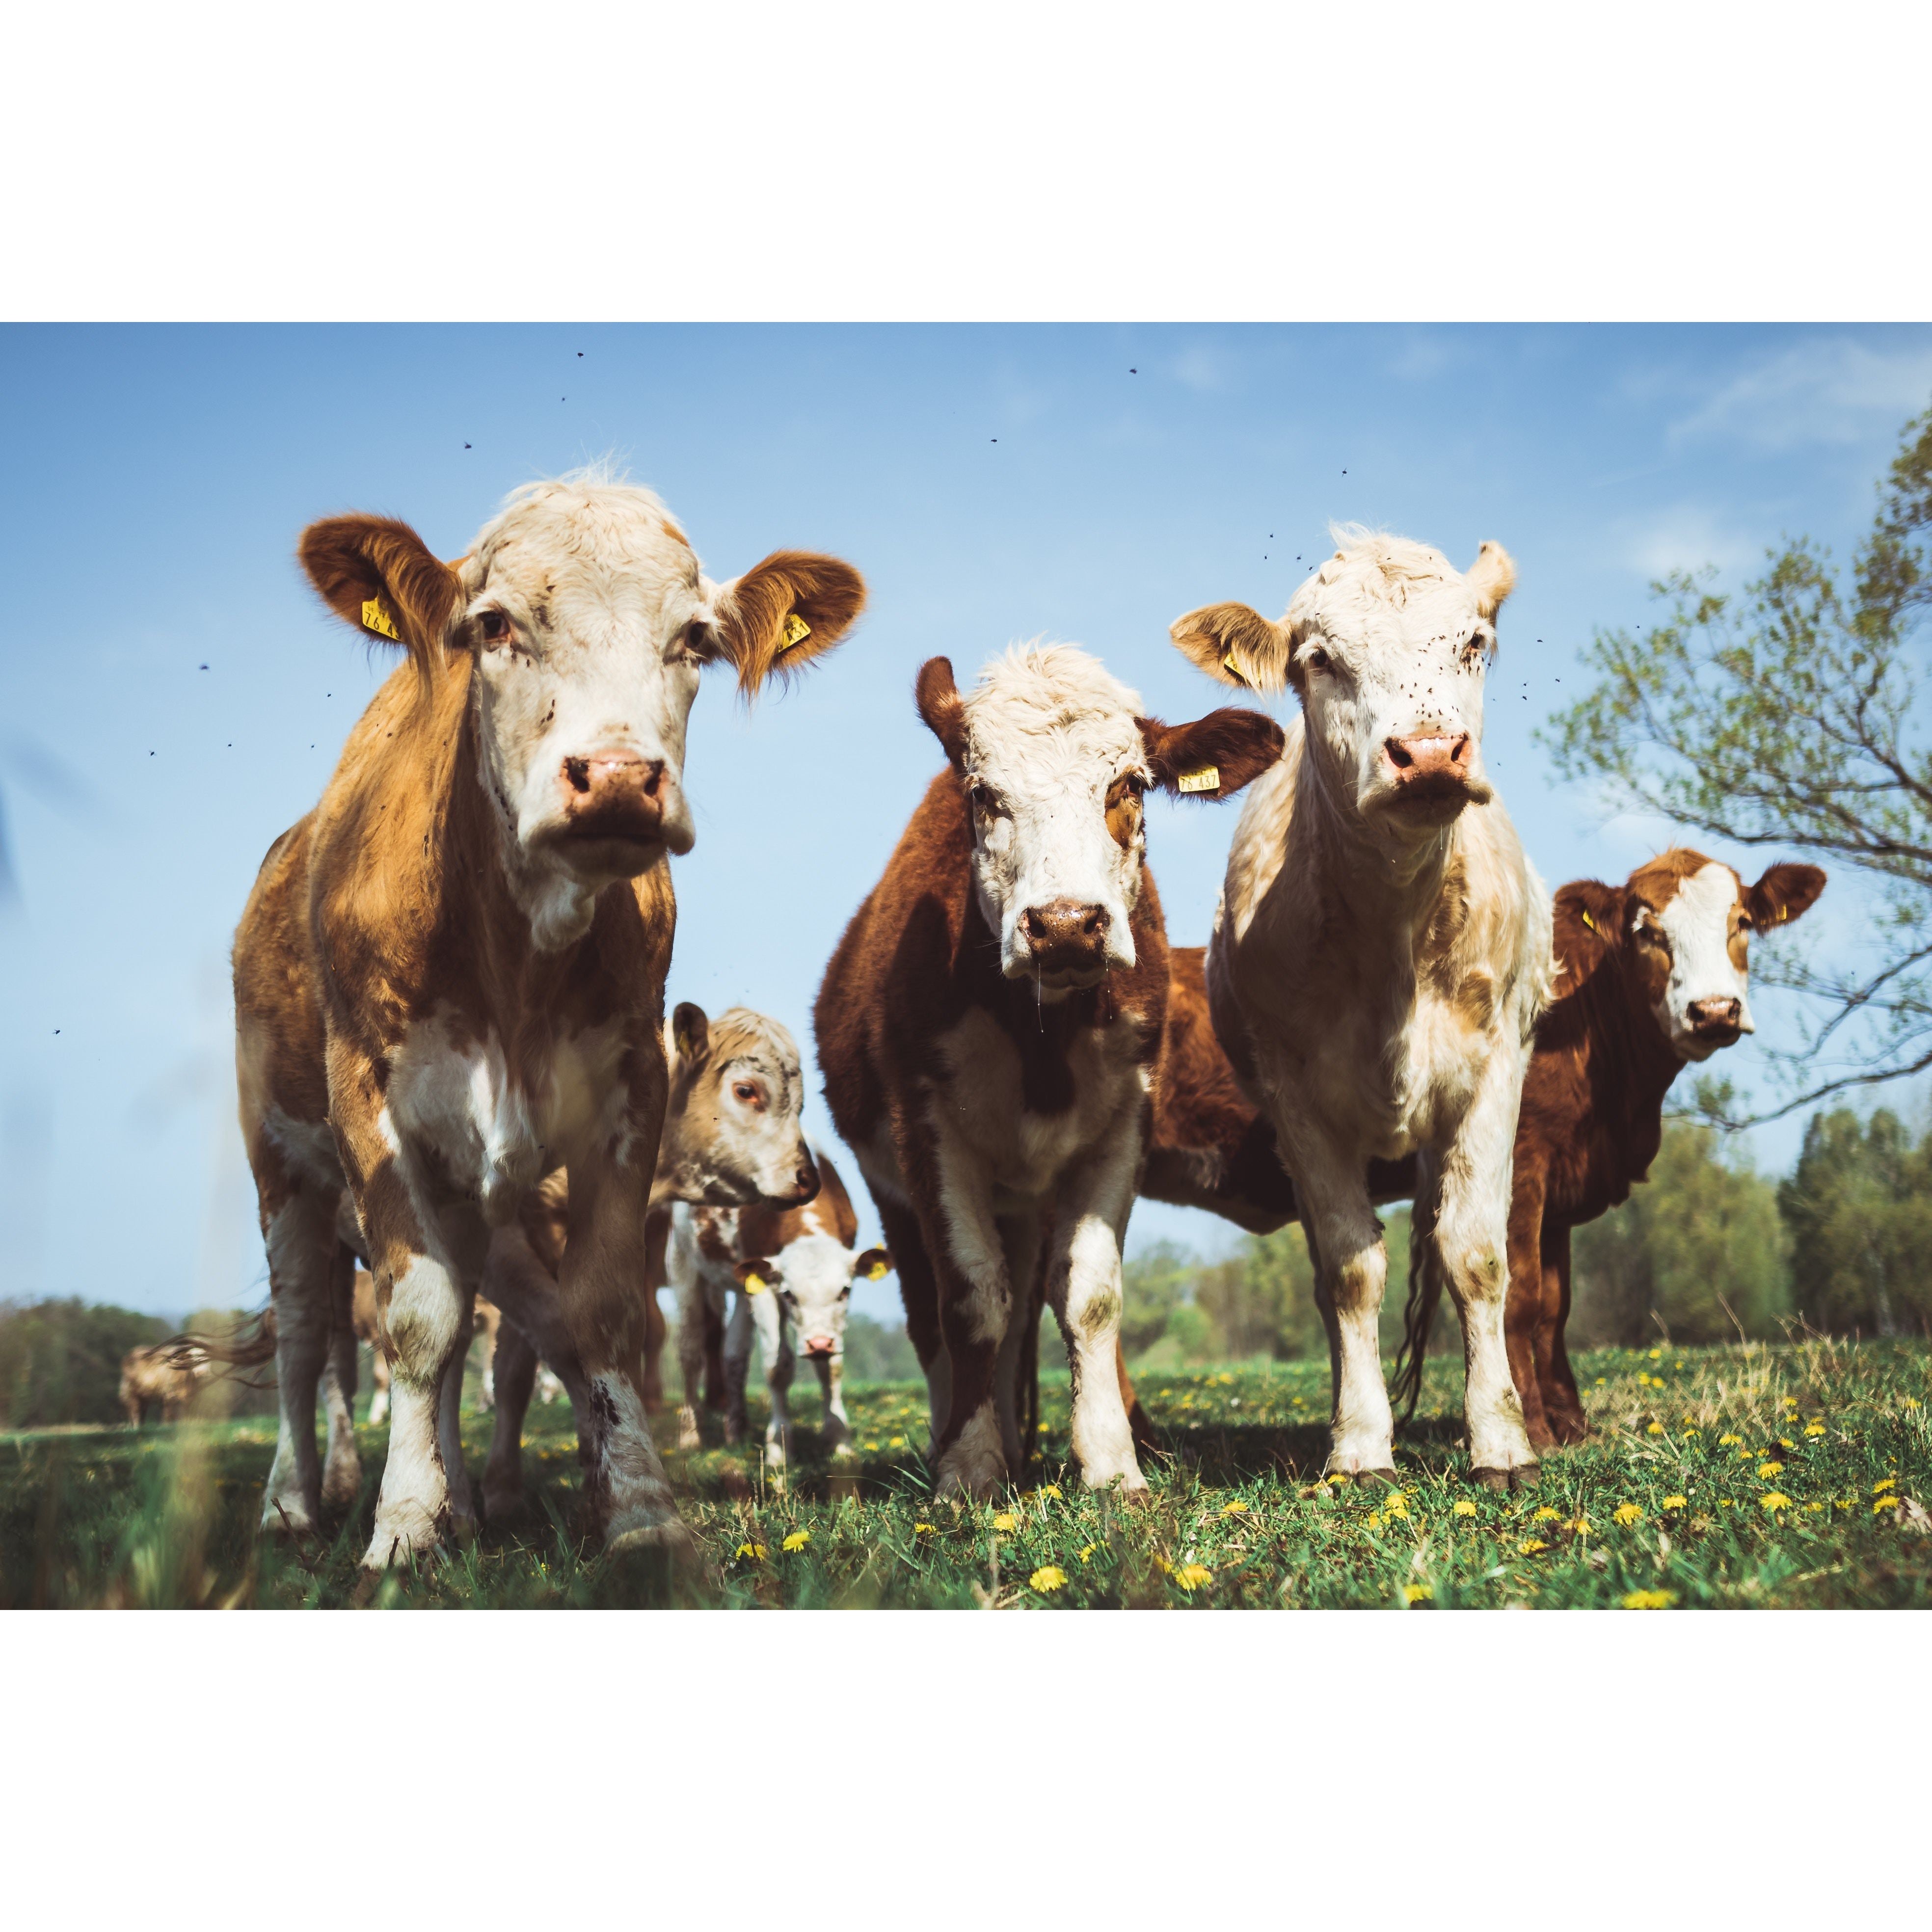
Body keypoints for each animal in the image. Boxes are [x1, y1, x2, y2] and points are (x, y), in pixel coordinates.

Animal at [477, 1002, 819, 1522]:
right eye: (747, 1090)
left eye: (802, 1102)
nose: (809, 1178)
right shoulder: (505, 1239)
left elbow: (520, 1369)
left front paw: (505, 1489)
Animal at [669, 1151, 890, 1465]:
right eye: (789, 1295)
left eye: (845, 1291)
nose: (818, 1344)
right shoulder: (765, 1289)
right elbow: (777, 1366)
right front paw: (779, 1447)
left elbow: (832, 1368)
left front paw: (839, 1440)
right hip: (683, 1263)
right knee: (689, 1351)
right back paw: (691, 1436)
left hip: (742, 1286)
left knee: (735, 1353)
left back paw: (737, 1431)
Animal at [815, 644, 1283, 1498]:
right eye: (983, 793)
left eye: (1130, 785)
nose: (1065, 924)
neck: (1041, 1035)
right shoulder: (928, 1135)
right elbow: (970, 1299)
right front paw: (968, 1468)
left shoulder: (1122, 1130)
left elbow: (1088, 1296)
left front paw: (1110, 1463)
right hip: (894, 1192)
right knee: (937, 1317)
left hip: (1025, 1202)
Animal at [1171, 528, 1552, 1490]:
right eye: (1320, 661)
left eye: (1474, 643)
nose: (1430, 753)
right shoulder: (1298, 1100)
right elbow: (1350, 1270)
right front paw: (1359, 1445)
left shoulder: (1496, 1069)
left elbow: (1476, 1255)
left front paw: (1501, 1442)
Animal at [1395, 849, 1827, 1446]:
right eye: (1646, 933)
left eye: (1741, 923)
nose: (1715, 1010)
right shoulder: (1522, 1159)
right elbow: (1519, 1295)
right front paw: (1534, 1428)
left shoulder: (1558, 1187)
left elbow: (1554, 1306)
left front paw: (1571, 1423)